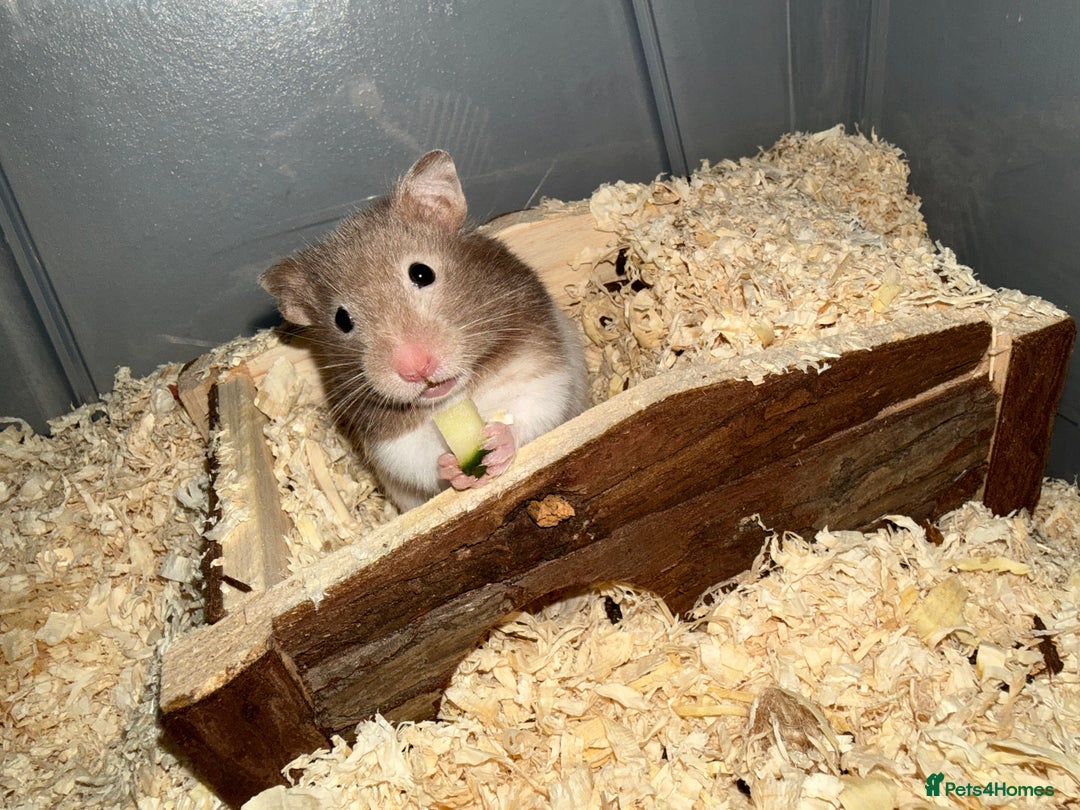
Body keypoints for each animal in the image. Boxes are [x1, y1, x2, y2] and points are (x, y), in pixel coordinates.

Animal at [260, 150, 588, 511]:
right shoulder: (392, 446)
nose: (416, 369)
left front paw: (496, 444)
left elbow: (531, 409)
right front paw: (454, 468)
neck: (456, 397)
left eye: (421, 273)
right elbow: (421, 460)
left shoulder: (542, 369)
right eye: (342, 320)